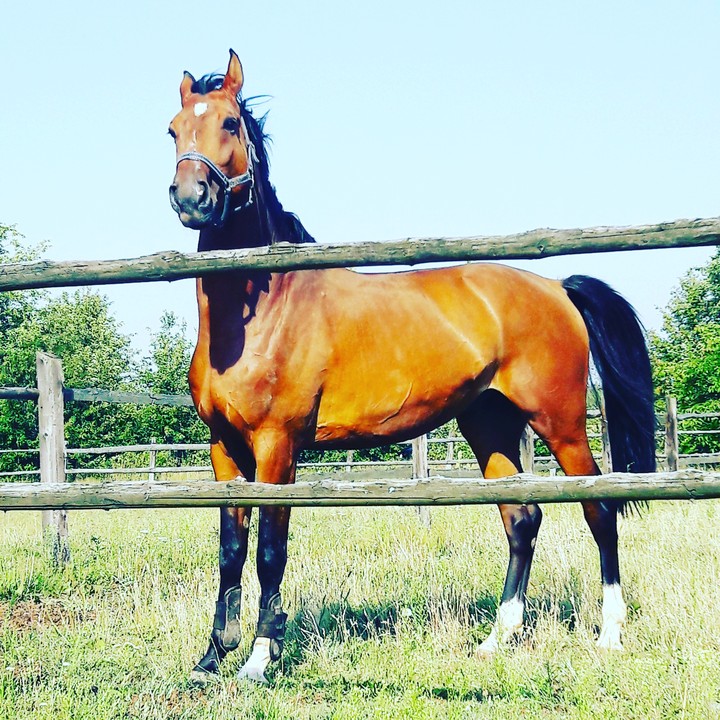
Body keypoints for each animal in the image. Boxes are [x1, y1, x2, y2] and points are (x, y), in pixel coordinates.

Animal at [168, 50, 655, 685]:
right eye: (173, 129)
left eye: (228, 122)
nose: (190, 197)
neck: (266, 309)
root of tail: (556, 286)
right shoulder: (225, 447)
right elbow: (231, 548)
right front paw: (210, 659)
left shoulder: (277, 446)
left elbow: (271, 550)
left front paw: (258, 659)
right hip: (488, 425)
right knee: (522, 519)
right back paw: (496, 639)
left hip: (562, 423)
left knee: (600, 508)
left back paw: (609, 634)